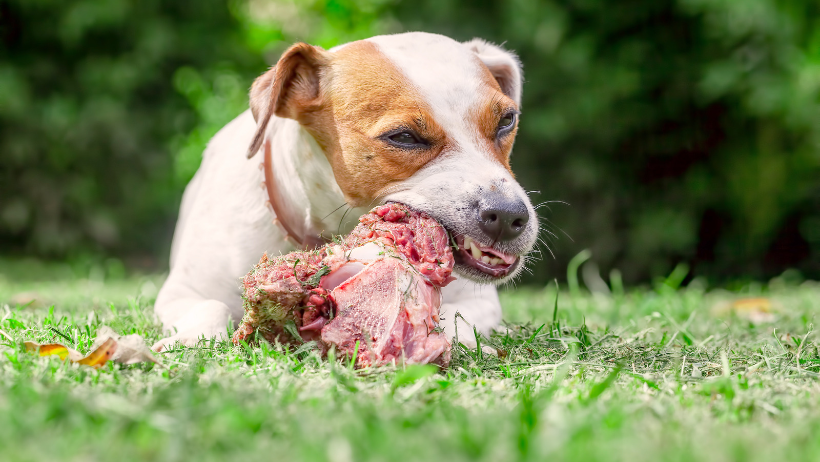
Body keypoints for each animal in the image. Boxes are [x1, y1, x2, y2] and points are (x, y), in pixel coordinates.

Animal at [152, 31, 540, 350]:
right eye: (404, 137)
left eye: (507, 120)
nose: (509, 215)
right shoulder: (183, 292)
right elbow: (210, 305)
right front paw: (190, 338)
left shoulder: (480, 301)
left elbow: (457, 321)